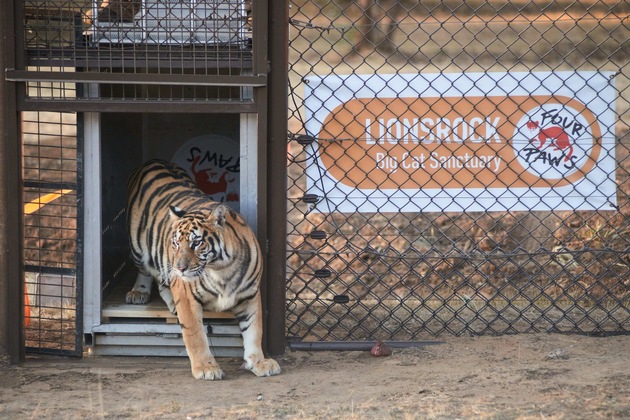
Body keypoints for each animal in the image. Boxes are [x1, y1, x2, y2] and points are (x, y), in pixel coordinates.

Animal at [124, 158, 280, 380]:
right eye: (176, 244)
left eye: (196, 243)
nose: (180, 267)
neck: (223, 270)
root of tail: (153, 160)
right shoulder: (187, 297)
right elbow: (195, 335)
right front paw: (206, 368)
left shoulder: (249, 295)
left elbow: (254, 330)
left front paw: (259, 362)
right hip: (138, 246)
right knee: (146, 271)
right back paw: (139, 293)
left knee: (164, 281)